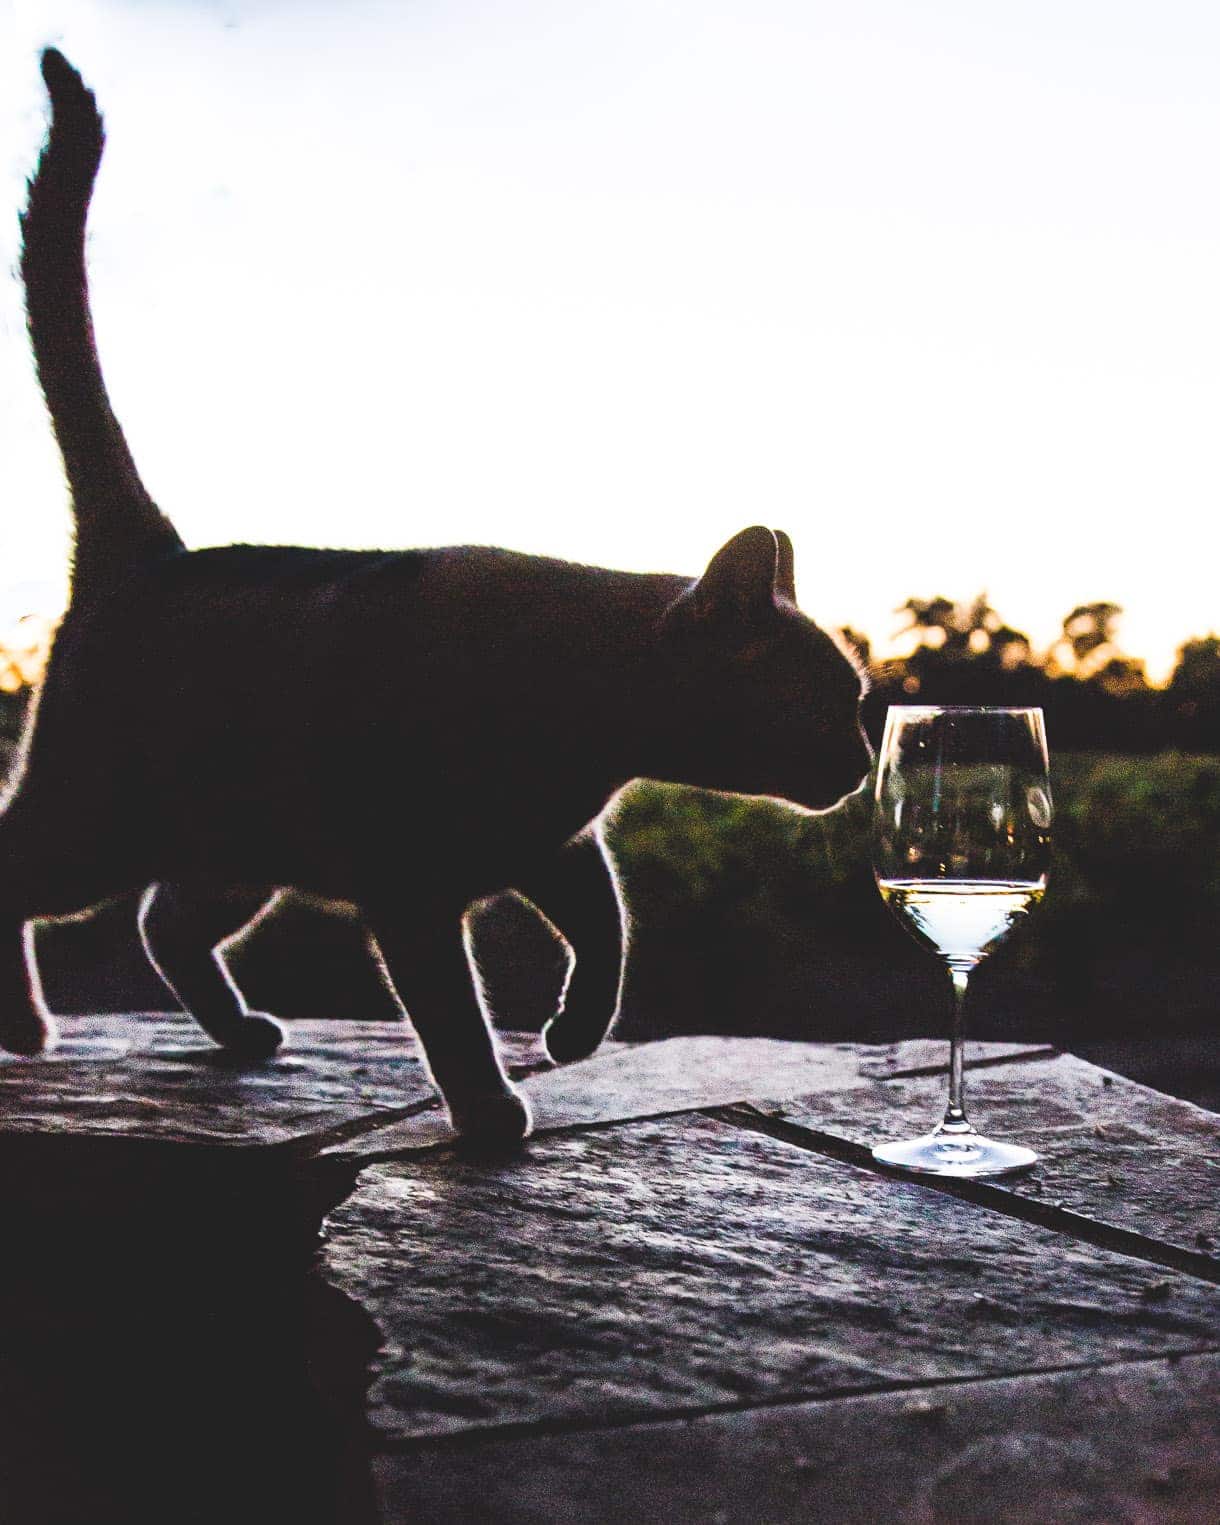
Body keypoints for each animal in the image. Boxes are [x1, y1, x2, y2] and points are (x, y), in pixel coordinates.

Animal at [4, 50, 872, 1146]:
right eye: (828, 703)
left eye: (860, 707)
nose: (860, 763)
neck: (585, 732)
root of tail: (151, 550)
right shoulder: (412, 891)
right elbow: (452, 1010)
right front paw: (492, 1112)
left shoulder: (556, 846)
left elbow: (610, 933)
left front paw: (573, 1034)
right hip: (98, 823)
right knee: (25, 877)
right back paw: (27, 1024)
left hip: (236, 848)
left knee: (166, 923)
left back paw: (240, 1032)